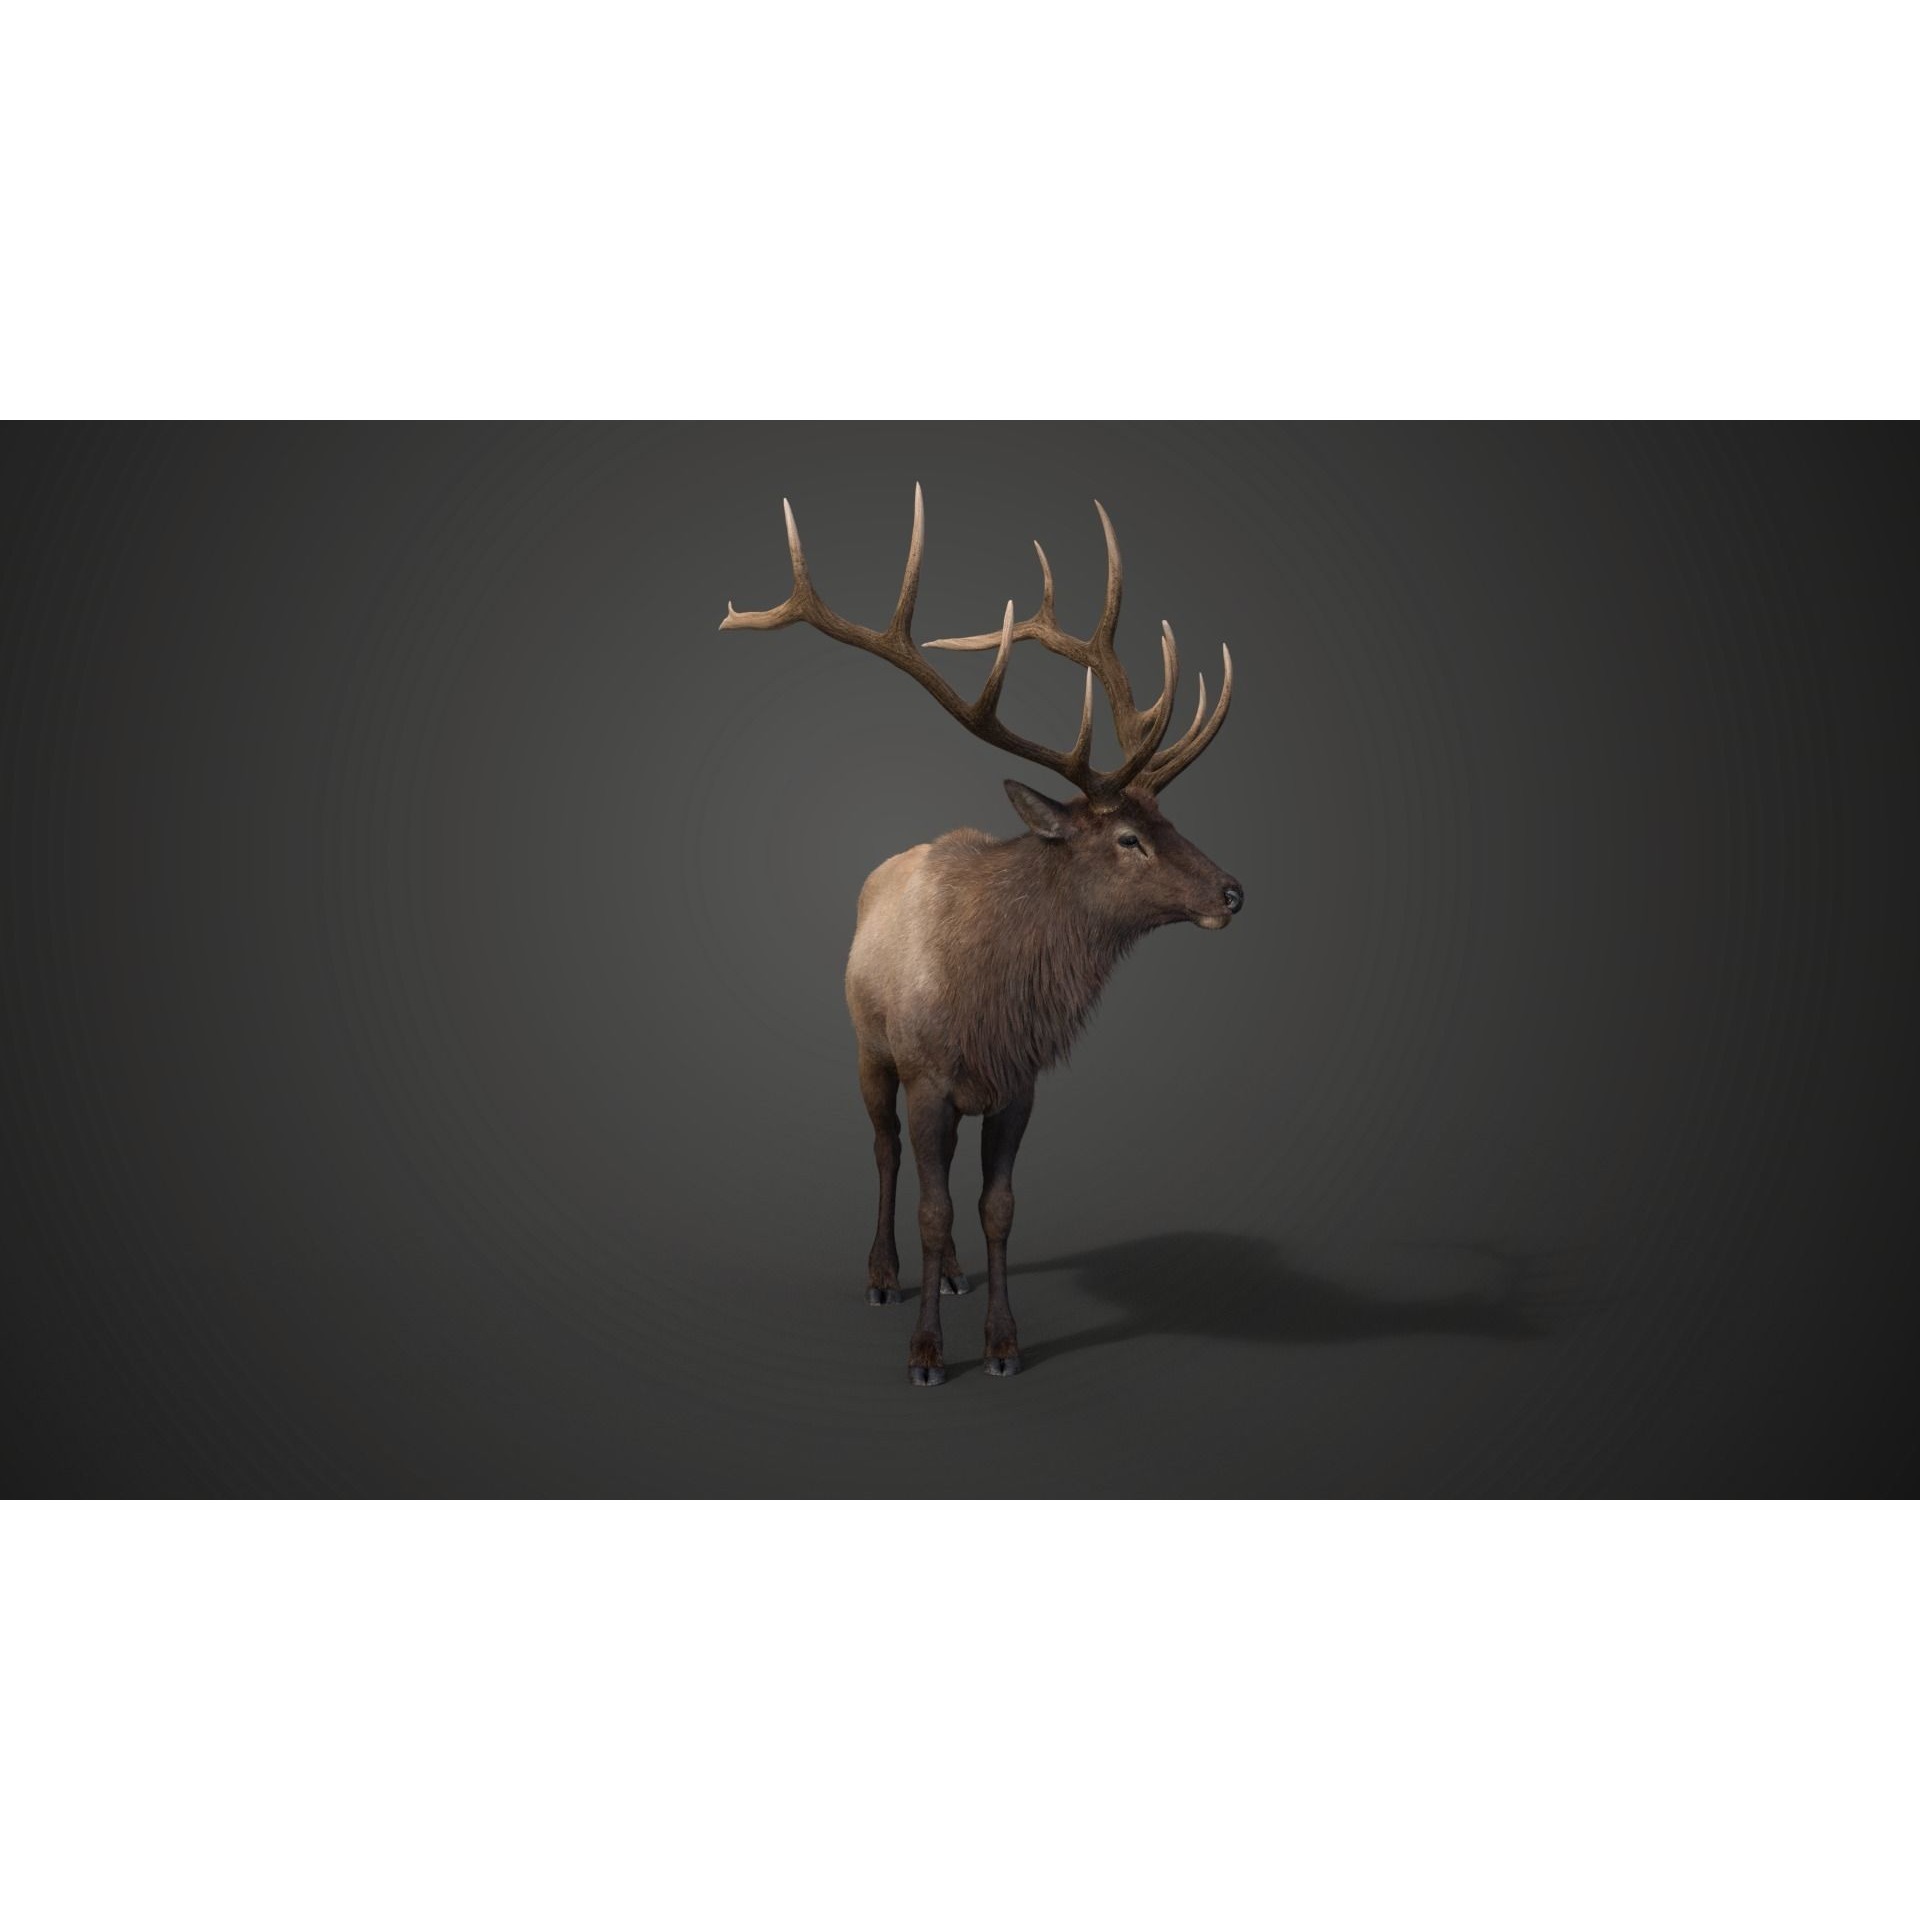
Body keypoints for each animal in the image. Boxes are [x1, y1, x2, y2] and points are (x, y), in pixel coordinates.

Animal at [720, 486, 1242, 1386]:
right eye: (1127, 838)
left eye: (1168, 821)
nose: (1232, 891)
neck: (994, 999)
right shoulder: (927, 1073)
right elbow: (930, 1207)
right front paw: (926, 1353)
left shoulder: (1018, 1084)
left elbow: (997, 1207)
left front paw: (1002, 1343)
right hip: (869, 1049)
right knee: (886, 1149)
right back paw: (883, 1276)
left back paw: (956, 1276)